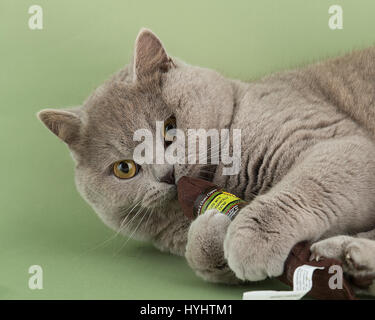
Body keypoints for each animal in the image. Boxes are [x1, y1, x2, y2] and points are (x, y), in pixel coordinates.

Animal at [37, 28, 375, 296]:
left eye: (170, 127)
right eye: (124, 168)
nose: (167, 174)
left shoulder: (338, 142)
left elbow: (304, 188)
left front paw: (250, 239)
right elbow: (198, 259)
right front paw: (213, 227)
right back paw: (351, 261)